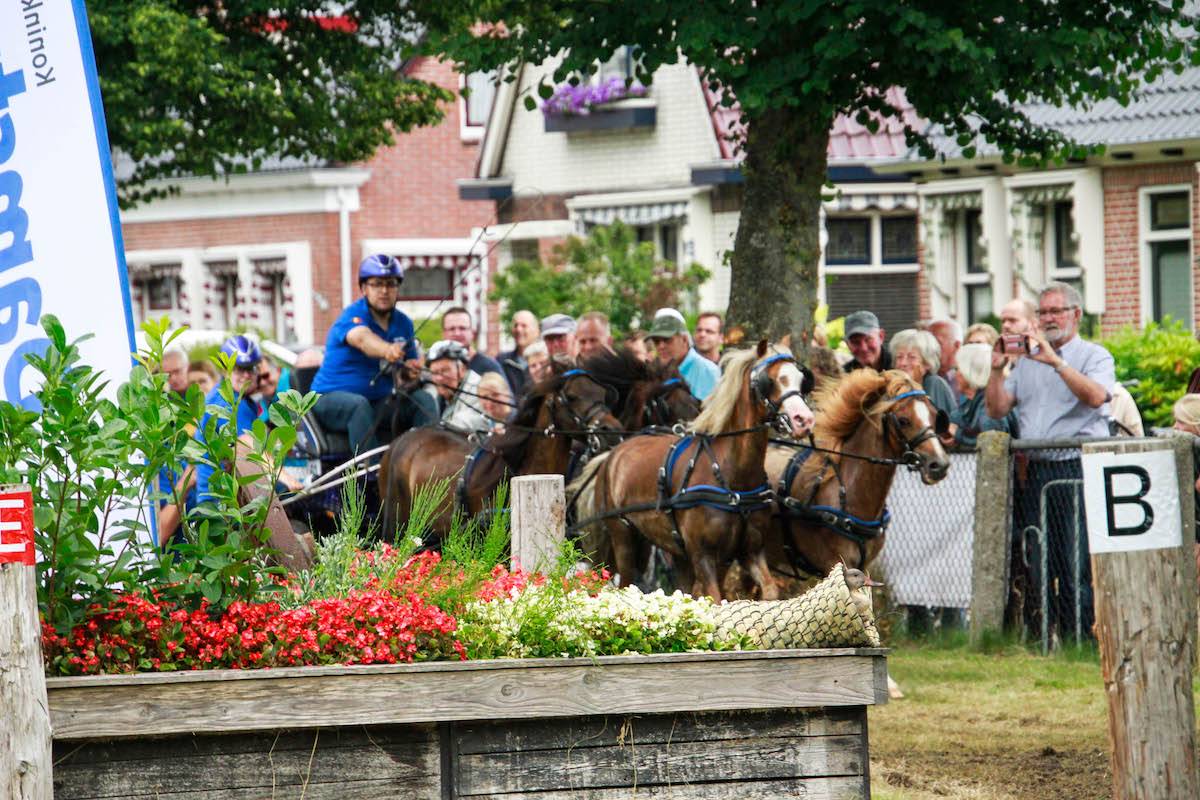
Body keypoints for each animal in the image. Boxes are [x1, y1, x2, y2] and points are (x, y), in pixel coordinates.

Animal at [577, 342, 815, 601]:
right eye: (768, 381)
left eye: (801, 380)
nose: (803, 420)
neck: (732, 479)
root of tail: (612, 455)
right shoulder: (703, 556)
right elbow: (715, 600)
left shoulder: (750, 551)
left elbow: (770, 591)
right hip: (624, 537)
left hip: (673, 550)